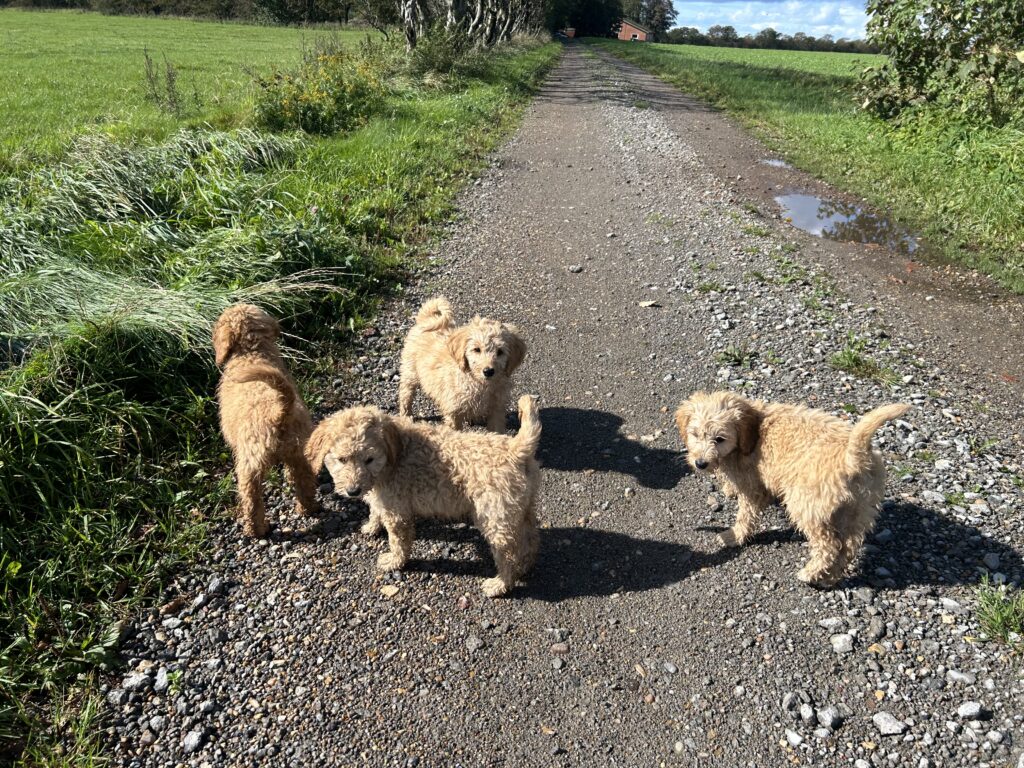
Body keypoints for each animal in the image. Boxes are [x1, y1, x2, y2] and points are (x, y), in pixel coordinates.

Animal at [212, 304, 318, 537]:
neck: (251, 353)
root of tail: (278, 412)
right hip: (299, 450)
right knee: (305, 481)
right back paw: (307, 509)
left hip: (248, 465)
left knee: (252, 500)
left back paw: (256, 530)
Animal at [307, 395, 542, 597]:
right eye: (342, 459)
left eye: (369, 459)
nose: (353, 491)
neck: (394, 456)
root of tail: (516, 449)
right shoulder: (382, 496)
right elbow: (375, 509)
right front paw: (371, 526)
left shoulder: (396, 509)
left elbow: (398, 540)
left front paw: (395, 561)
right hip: (522, 507)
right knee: (530, 537)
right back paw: (525, 564)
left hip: (495, 516)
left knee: (508, 553)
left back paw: (501, 583)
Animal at [398, 297, 526, 432]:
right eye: (476, 349)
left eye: (500, 352)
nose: (488, 371)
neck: (480, 384)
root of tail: (427, 318)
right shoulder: (453, 411)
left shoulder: (497, 409)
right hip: (410, 369)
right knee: (406, 392)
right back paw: (406, 415)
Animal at [674, 391, 908, 587]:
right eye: (695, 434)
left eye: (720, 439)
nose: (700, 463)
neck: (755, 428)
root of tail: (854, 456)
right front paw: (729, 488)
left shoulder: (753, 486)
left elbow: (746, 515)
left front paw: (734, 536)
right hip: (858, 510)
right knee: (848, 546)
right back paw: (829, 578)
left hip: (806, 505)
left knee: (829, 546)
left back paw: (810, 573)